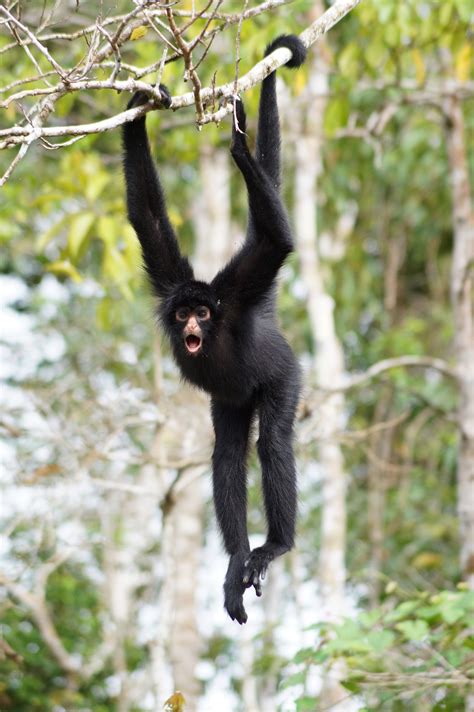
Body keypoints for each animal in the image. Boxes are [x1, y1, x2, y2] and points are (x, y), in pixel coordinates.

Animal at [122, 34, 308, 624]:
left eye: (202, 314)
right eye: (182, 313)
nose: (192, 324)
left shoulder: (235, 290)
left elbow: (275, 244)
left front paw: (241, 148)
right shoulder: (172, 281)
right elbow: (147, 217)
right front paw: (139, 110)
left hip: (283, 375)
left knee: (271, 442)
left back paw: (275, 545)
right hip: (231, 398)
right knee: (227, 453)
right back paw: (236, 560)